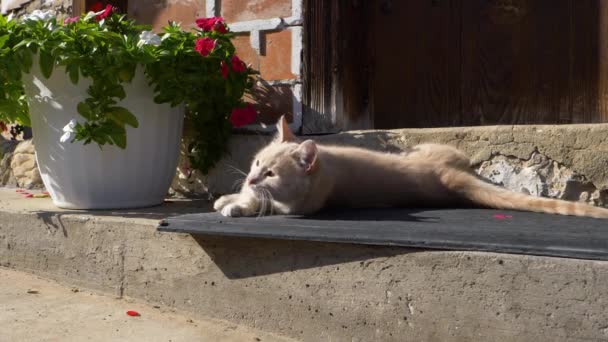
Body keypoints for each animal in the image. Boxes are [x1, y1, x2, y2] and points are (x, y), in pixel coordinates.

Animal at [213, 116, 608, 219]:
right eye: (256, 163)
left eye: (271, 174)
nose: (252, 176)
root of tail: (451, 177)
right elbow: (247, 196)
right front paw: (231, 197)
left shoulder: (297, 206)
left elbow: (263, 205)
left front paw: (237, 206)